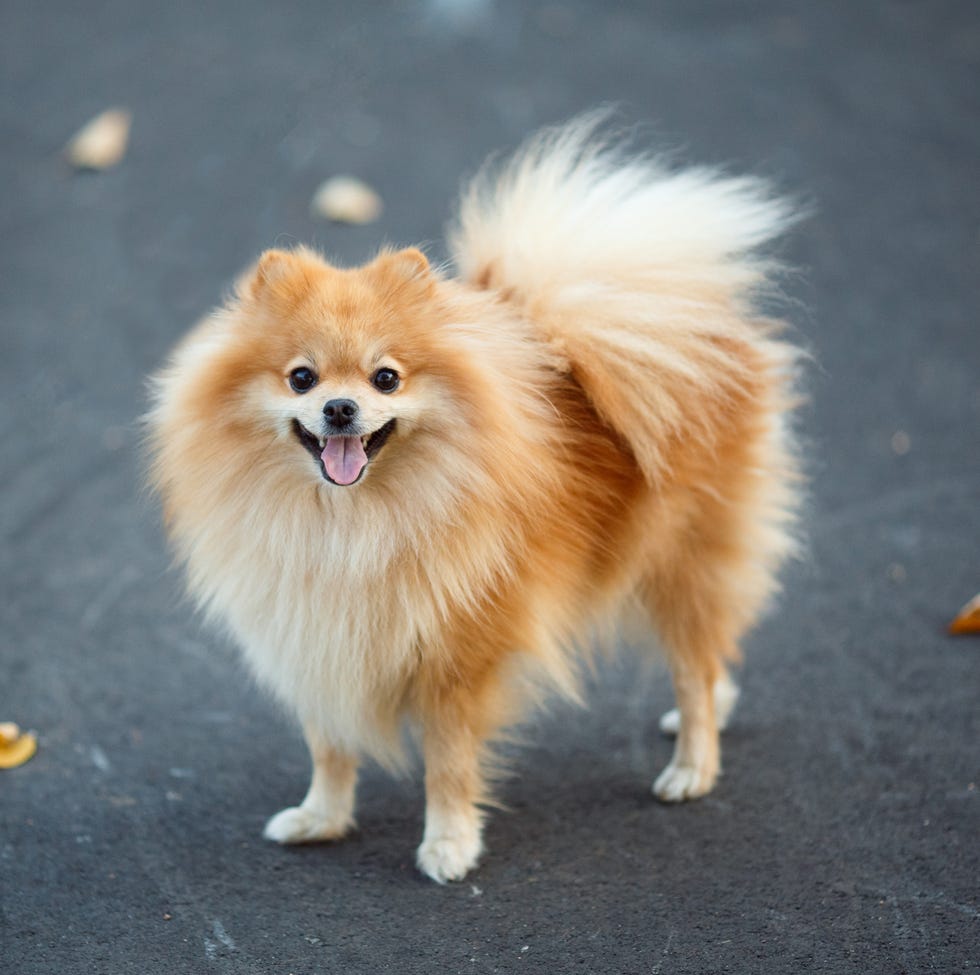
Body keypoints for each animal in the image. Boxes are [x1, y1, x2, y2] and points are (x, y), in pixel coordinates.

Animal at [149, 118, 800, 880]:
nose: (340, 408)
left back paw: (693, 765)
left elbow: (449, 764)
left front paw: (449, 843)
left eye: (386, 377)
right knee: (713, 653)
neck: (348, 524)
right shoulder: (318, 639)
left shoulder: (458, 657)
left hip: (679, 558)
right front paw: (321, 818)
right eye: (301, 377)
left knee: (694, 664)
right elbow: (330, 746)